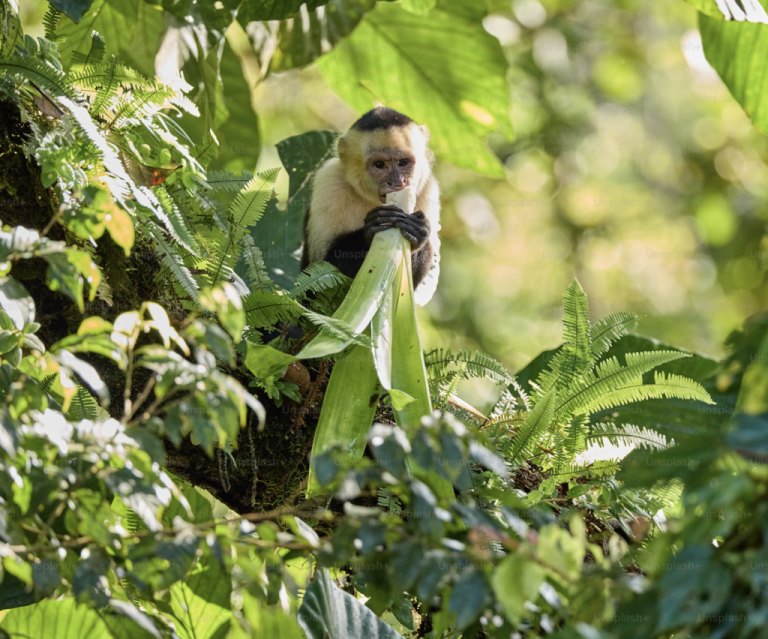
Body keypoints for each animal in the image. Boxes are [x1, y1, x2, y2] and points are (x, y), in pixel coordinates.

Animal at [302, 107, 444, 304]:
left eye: (403, 162)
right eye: (379, 164)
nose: (397, 182)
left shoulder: (427, 189)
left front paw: (416, 230)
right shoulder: (328, 181)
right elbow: (320, 271)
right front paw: (373, 226)